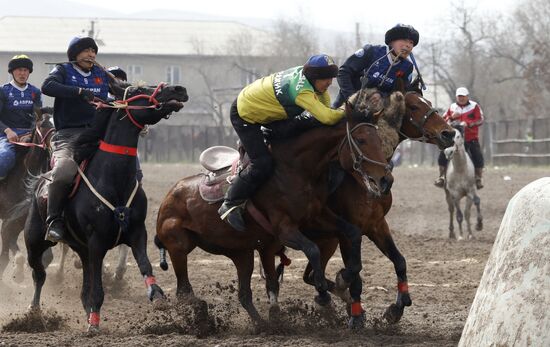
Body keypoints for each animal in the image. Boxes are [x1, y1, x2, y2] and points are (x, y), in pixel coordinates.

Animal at [23, 80, 190, 334]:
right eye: (134, 91)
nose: (179, 89)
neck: (113, 177)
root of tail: (41, 183)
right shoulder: (97, 242)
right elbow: (98, 290)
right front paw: (94, 324)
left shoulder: (136, 232)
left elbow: (145, 265)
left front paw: (157, 295)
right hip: (35, 242)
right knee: (38, 274)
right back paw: (33, 313)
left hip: (81, 249)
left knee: (82, 286)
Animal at [156, 109, 396, 328]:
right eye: (361, 140)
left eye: (379, 139)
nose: (385, 179)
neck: (293, 169)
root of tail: (168, 198)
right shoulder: (285, 229)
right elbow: (312, 251)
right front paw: (324, 290)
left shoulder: (317, 217)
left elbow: (351, 233)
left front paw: (344, 278)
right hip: (179, 247)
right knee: (183, 291)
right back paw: (201, 316)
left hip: (241, 254)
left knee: (244, 294)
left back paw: (263, 325)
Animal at [298, 85, 458, 328]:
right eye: (414, 106)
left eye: (429, 102)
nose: (449, 133)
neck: (361, 180)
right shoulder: (348, 232)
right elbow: (354, 272)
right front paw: (355, 314)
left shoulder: (376, 225)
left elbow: (399, 261)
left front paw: (397, 307)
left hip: (326, 240)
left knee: (310, 276)